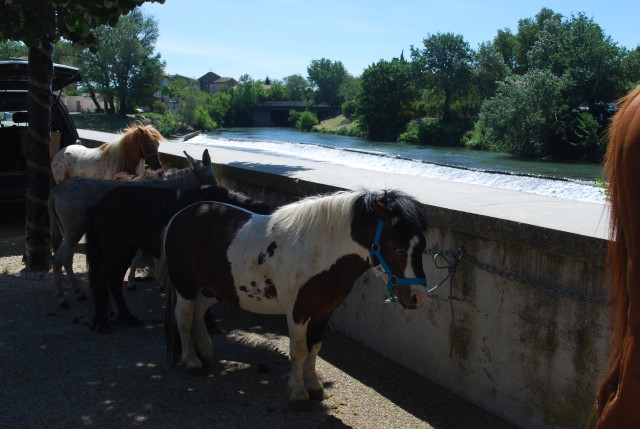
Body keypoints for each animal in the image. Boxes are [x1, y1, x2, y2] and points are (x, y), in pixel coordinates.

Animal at [162, 189, 428, 406]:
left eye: (423, 247)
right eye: (398, 248)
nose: (418, 298)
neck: (319, 253)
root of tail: (179, 216)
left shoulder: (323, 312)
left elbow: (315, 347)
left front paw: (314, 385)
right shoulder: (298, 312)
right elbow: (299, 350)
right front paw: (298, 391)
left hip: (213, 288)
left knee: (198, 311)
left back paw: (205, 351)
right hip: (186, 285)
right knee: (184, 317)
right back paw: (192, 361)